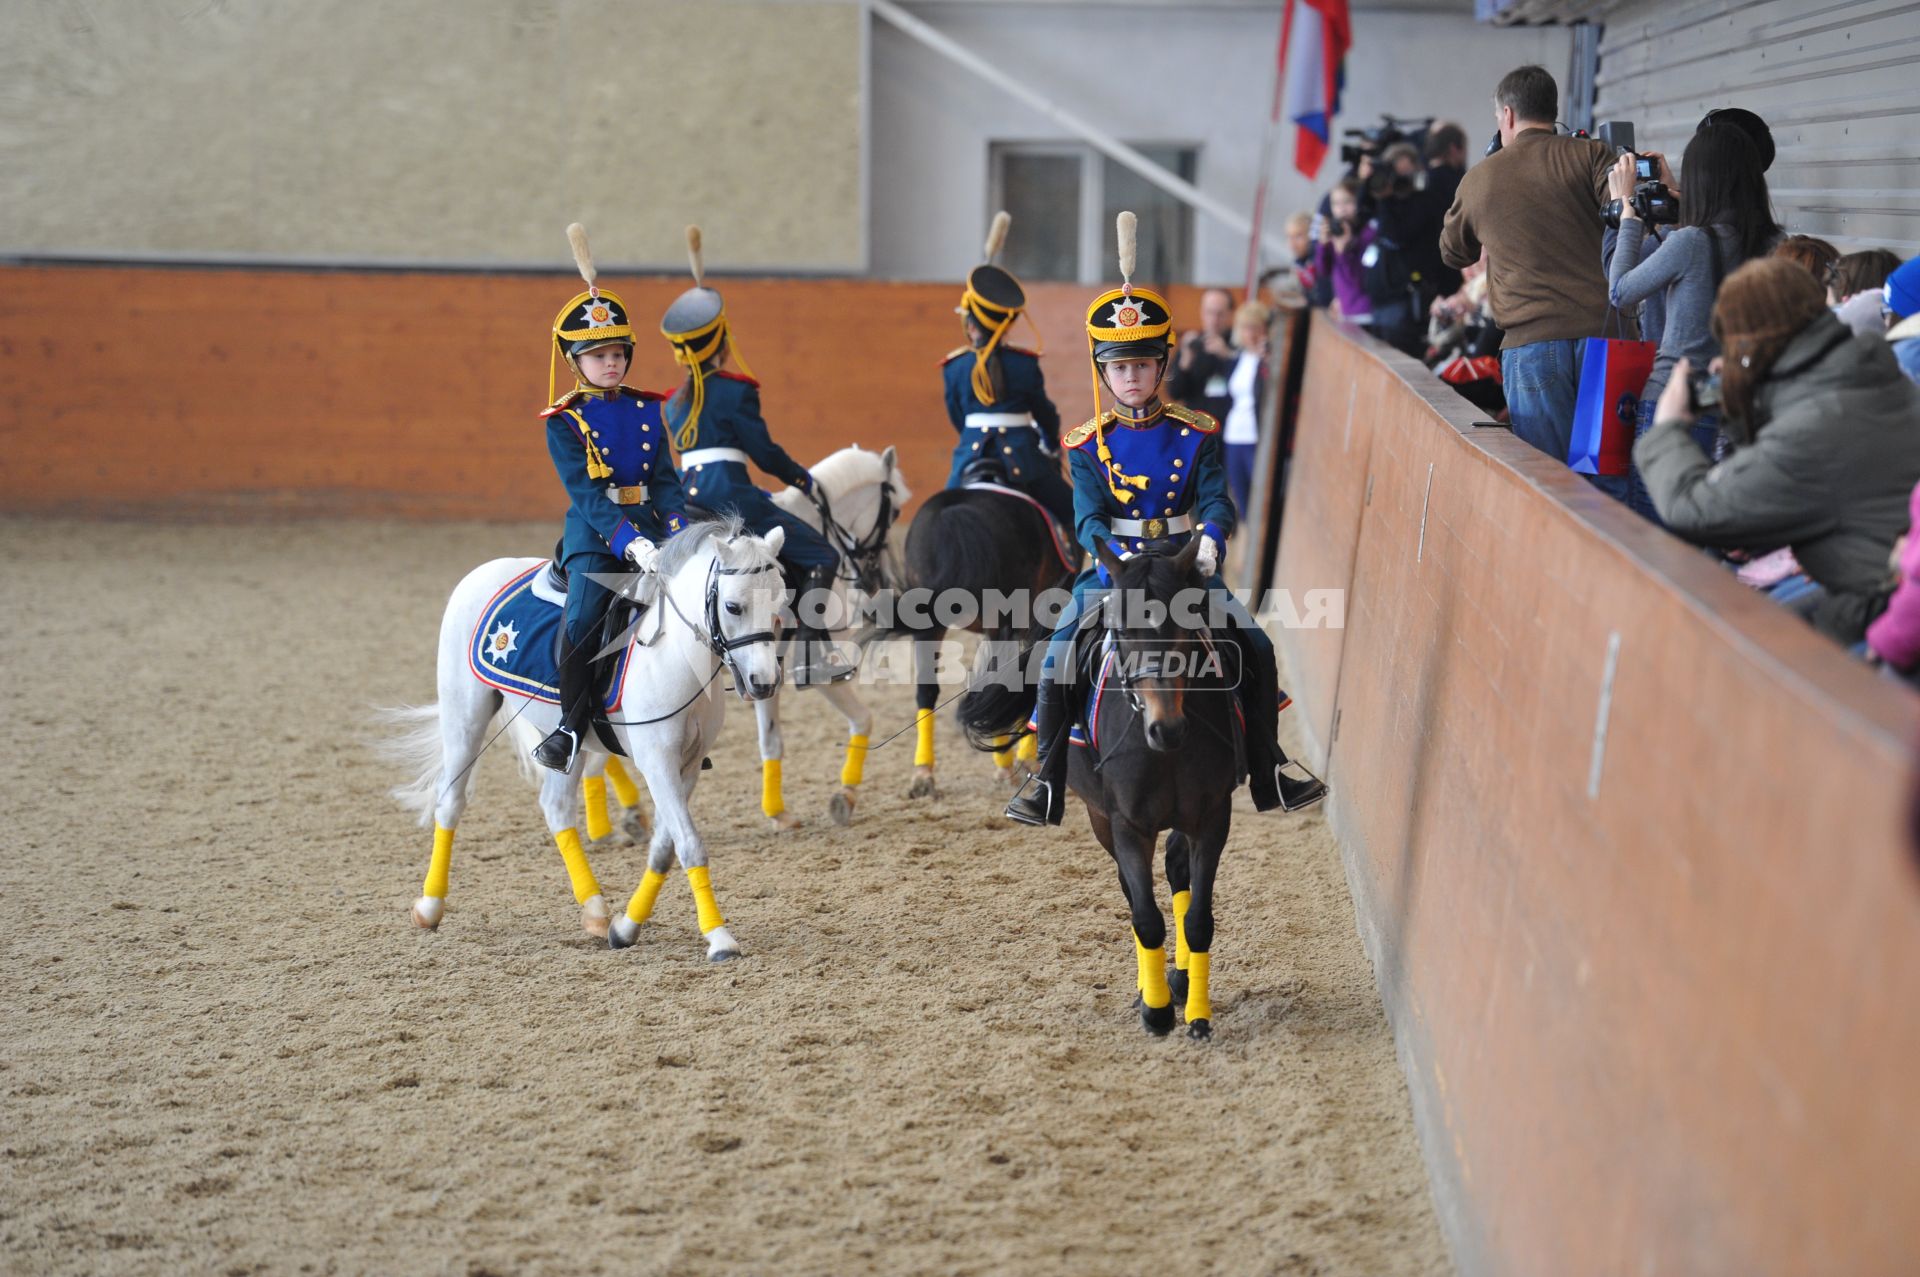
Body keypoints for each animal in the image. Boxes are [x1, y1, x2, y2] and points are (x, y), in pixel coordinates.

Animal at [385, 514, 783, 956]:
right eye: (733, 607)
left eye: (780, 604)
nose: (764, 683)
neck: (675, 655)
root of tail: (484, 570)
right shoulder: (657, 762)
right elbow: (690, 845)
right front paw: (719, 937)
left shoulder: (688, 765)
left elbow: (665, 848)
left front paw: (626, 927)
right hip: (465, 716)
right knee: (450, 801)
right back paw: (430, 906)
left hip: (557, 735)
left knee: (556, 806)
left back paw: (595, 910)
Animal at [952, 533, 1236, 1036]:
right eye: (1121, 634)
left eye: (1185, 631)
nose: (1167, 730)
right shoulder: (1126, 825)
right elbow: (1145, 916)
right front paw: (1156, 1012)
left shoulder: (1211, 819)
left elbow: (1198, 919)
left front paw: (1197, 1015)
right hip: (1101, 818)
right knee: (1131, 888)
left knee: (1176, 869)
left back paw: (1180, 980)